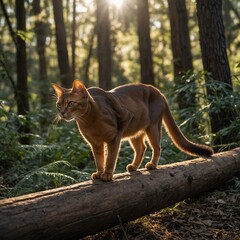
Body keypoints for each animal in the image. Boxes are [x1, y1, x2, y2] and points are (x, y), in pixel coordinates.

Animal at [52, 79, 214, 181]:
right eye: (59, 104)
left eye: (71, 103)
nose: (62, 113)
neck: (88, 120)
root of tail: (158, 91)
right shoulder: (95, 144)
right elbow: (99, 159)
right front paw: (99, 173)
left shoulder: (119, 127)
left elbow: (111, 158)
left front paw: (107, 174)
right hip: (135, 132)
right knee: (141, 148)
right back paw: (134, 166)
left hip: (153, 127)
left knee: (156, 147)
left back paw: (152, 165)